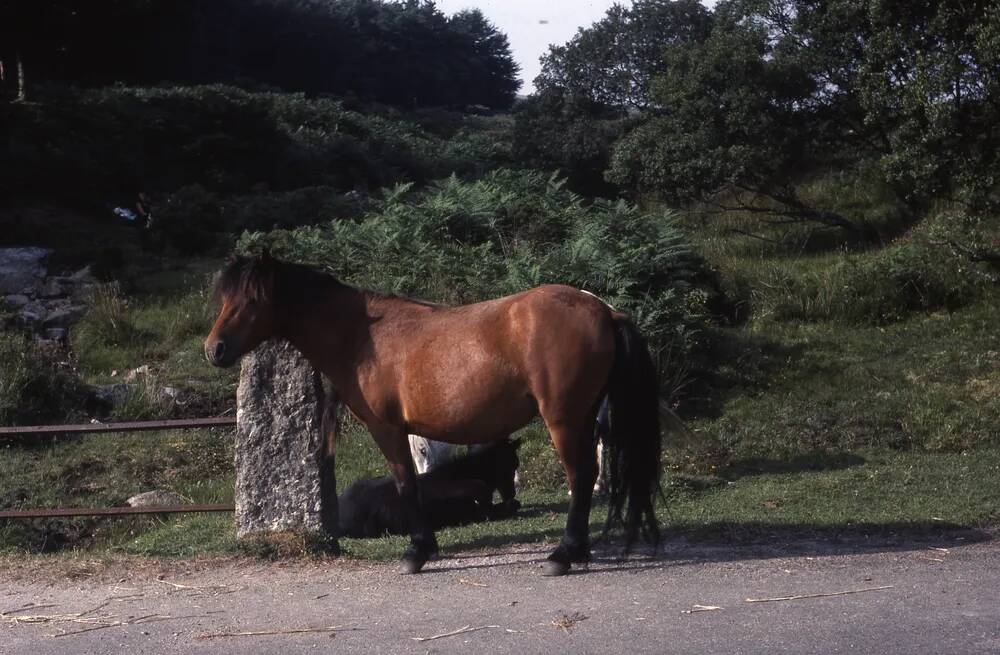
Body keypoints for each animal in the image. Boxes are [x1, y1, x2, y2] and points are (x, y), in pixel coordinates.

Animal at [206, 254, 660, 576]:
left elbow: (407, 485)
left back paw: (563, 554)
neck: (362, 337)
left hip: (564, 420)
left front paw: (418, 551)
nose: (215, 349)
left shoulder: (387, 430)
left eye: (252, 300)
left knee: (581, 477)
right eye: (225, 299)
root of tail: (605, 311)